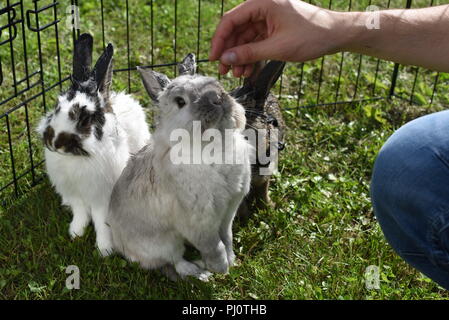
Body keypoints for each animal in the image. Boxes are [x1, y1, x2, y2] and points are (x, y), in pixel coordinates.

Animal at [37, 33, 150, 256]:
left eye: (85, 119)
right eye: (56, 107)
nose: (54, 143)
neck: (76, 158)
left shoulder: (102, 197)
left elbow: (101, 222)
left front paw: (105, 249)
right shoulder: (75, 193)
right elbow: (80, 213)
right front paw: (76, 232)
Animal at [107, 54, 250, 280]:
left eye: (212, 81)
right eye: (180, 102)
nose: (217, 98)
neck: (214, 146)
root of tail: (121, 245)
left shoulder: (228, 211)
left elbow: (226, 237)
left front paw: (231, 258)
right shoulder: (199, 222)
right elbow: (214, 246)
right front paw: (221, 267)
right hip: (165, 243)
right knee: (176, 261)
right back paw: (200, 272)